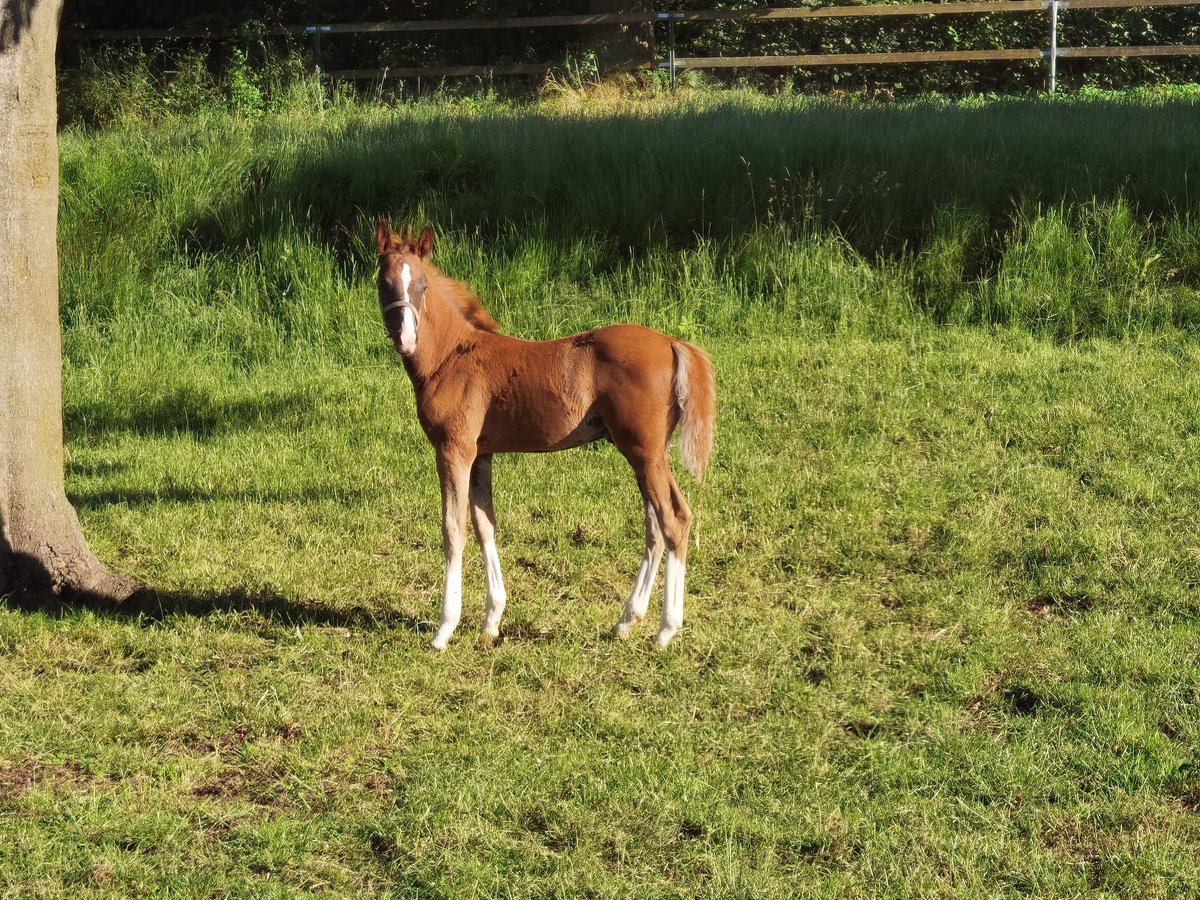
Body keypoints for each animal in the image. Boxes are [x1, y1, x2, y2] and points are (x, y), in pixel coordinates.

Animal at [374, 224, 710, 648]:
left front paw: (444, 628)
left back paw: (665, 630)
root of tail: (671, 342)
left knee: (674, 519)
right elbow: (485, 523)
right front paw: (491, 621)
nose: (405, 339)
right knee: (655, 526)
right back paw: (626, 621)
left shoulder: (454, 450)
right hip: (644, 454)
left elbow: (454, 529)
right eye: (385, 283)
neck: (452, 357)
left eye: (421, 286)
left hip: (644, 452)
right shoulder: (481, 454)